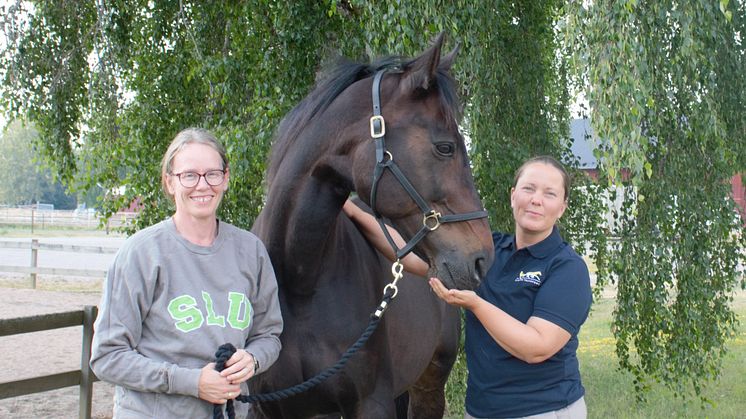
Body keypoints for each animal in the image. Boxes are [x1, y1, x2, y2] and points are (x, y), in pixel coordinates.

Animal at [250, 34, 494, 418]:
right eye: (445, 147)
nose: (482, 258)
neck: (298, 278)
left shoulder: (371, 402)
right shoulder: (267, 408)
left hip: (428, 388)